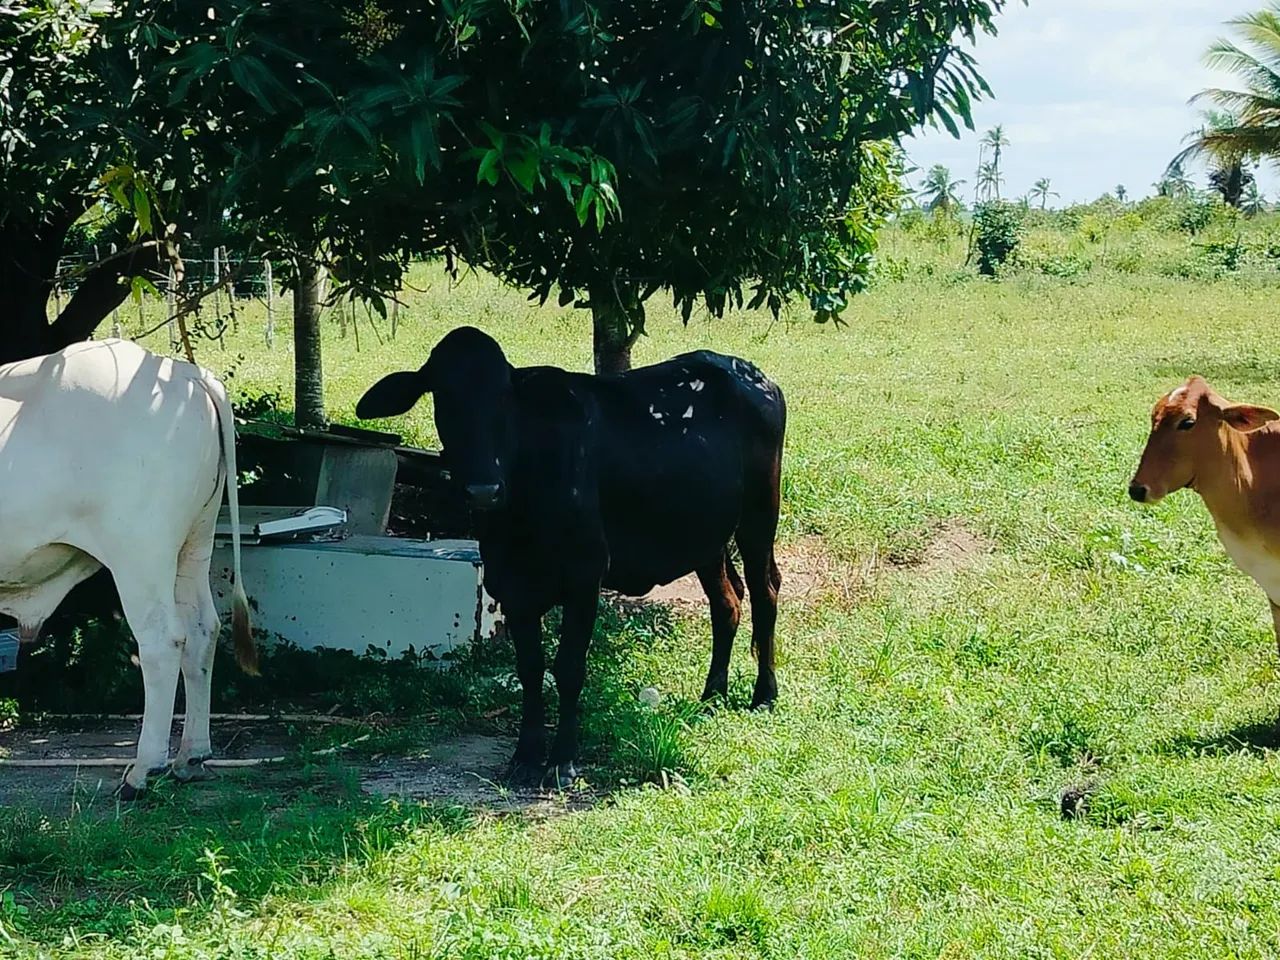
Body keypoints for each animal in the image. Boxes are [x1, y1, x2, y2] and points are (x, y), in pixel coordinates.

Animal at [0, 338, 255, 799]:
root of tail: (185, 372)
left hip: (140, 553)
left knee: (162, 640)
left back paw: (143, 770)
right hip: (194, 543)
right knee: (202, 630)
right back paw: (191, 757)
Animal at [357, 326, 786, 787]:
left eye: (504, 399)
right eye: (443, 397)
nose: (484, 490)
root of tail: (752, 374)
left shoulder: (585, 577)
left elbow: (568, 668)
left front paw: (563, 760)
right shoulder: (512, 586)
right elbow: (530, 669)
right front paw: (526, 756)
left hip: (759, 516)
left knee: (765, 592)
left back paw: (764, 695)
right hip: (705, 537)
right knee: (727, 602)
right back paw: (711, 696)